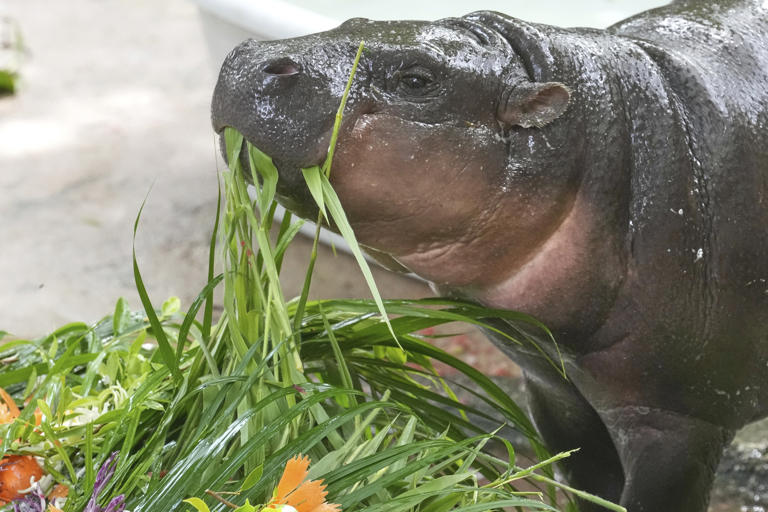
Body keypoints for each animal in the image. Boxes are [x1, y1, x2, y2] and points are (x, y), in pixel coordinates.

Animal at [210, 1, 768, 510]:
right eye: (355, 20)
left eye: (418, 79)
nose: (249, 55)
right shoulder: (554, 388)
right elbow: (589, 483)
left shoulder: (677, 421)